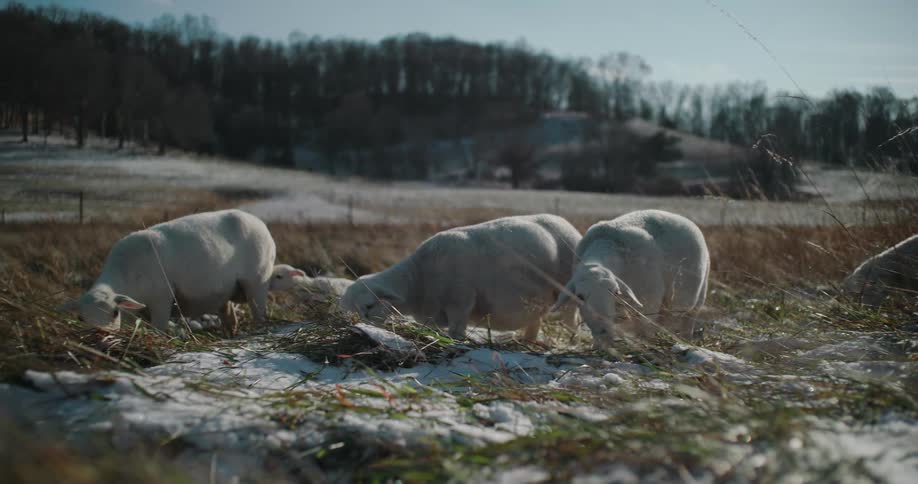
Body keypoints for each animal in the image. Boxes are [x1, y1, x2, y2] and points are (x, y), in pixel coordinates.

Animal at [62, 209, 296, 336]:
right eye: (80, 318)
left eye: (113, 313)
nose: (100, 334)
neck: (125, 273)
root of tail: (259, 222)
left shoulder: (161, 298)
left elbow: (159, 328)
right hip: (225, 292)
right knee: (230, 317)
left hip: (257, 281)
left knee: (259, 314)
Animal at [339, 214, 581, 340]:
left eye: (369, 306)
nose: (362, 328)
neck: (418, 279)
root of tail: (567, 224)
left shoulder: (460, 301)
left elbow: (456, 330)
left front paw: (455, 342)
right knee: (536, 320)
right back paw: (527, 341)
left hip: (567, 291)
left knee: (572, 319)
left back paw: (572, 340)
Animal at [552, 209, 709, 347]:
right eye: (580, 296)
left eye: (615, 292)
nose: (604, 330)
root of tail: (684, 219)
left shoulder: (648, 301)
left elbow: (644, 327)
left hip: (697, 294)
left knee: (689, 319)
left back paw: (685, 340)